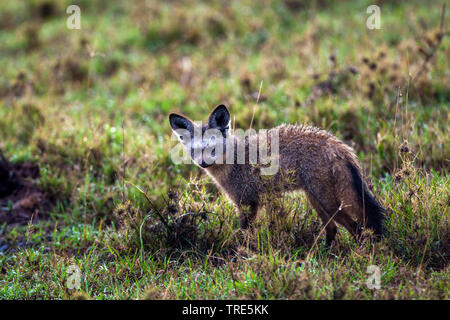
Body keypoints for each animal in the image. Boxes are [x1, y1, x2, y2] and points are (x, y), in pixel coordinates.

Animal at [170, 104, 386, 245]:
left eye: (212, 148)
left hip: (329, 204)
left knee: (356, 230)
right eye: (195, 150)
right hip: (317, 201)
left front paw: (242, 256)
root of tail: (337, 144)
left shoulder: (248, 203)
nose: (203, 163)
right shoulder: (249, 203)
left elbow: (244, 235)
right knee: (333, 230)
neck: (235, 162)